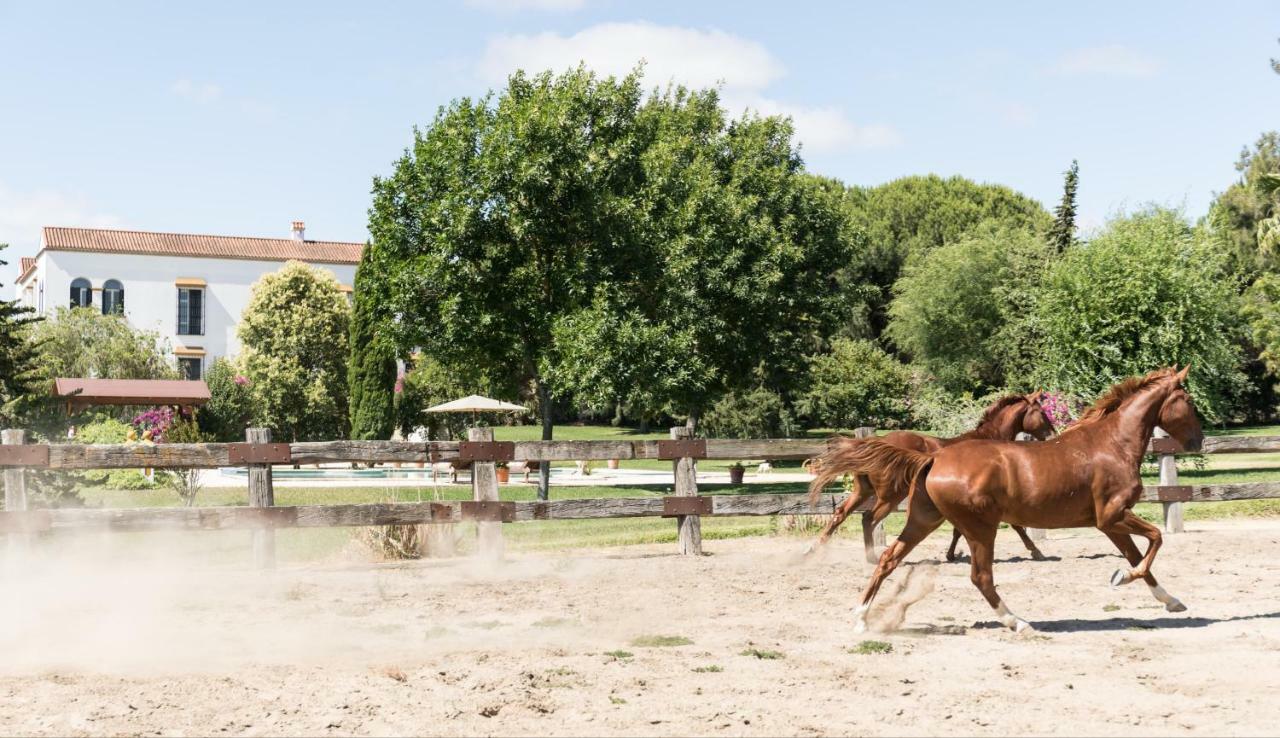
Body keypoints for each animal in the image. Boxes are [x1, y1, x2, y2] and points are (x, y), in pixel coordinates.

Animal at [803, 391, 1054, 557]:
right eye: (1042, 412)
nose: (1052, 434)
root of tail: (877, 444)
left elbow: (957, 530)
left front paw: (951, 554)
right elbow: (1015, 525)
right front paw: (1036, 551)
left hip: (862, 491)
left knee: (840, 514)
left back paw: (813, 550)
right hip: (889, 496)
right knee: (868, 519)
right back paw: (871, 558)